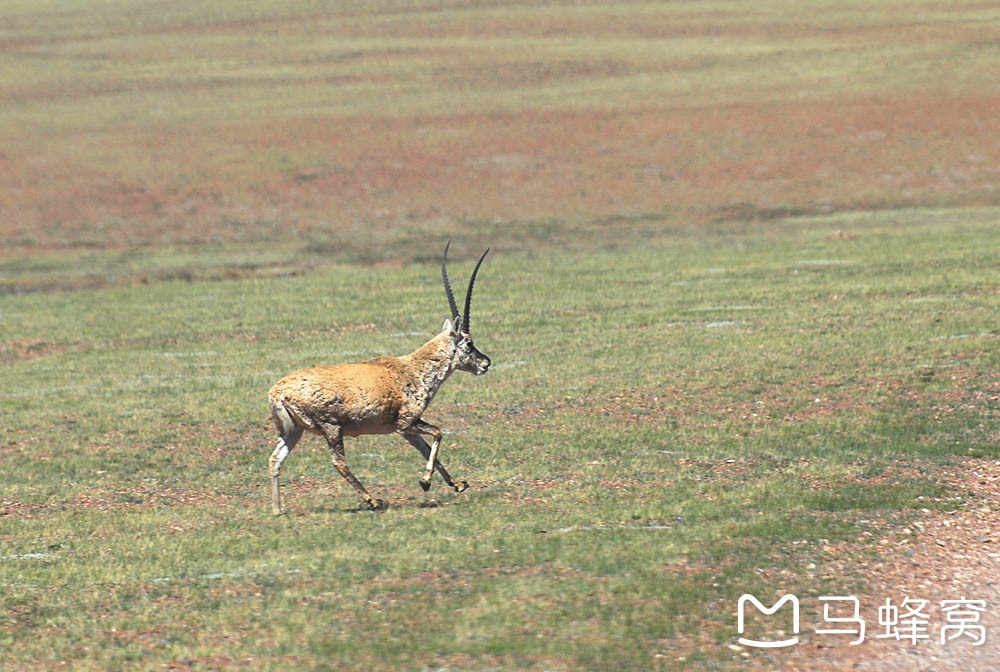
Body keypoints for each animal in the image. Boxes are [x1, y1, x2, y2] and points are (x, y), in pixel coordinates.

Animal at [270, 243, 492, 516]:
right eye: (469, 343)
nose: (485, 362)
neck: (412, 369)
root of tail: (278, 392)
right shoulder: (405, 423)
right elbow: (439, 433)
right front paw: (425, 482)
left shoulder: (406, 430)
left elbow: (425, 448)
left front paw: (457, 484)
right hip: (331, 428)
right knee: (338, 462)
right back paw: (373, 501)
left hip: (293, 431)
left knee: (276, 459)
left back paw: (278, 510)